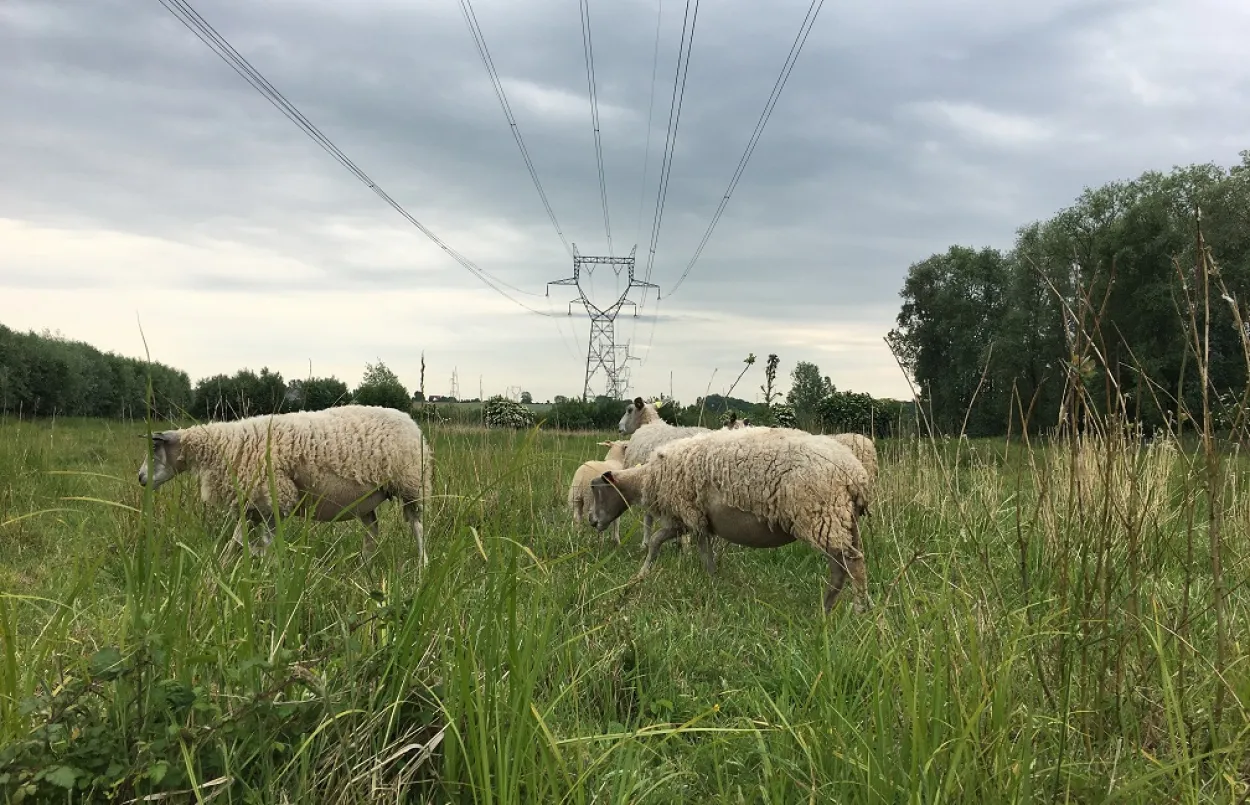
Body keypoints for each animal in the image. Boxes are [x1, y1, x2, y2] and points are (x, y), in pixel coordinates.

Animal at [136, 404, 433, 564]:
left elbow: (266, 543)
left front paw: (270, 572)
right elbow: (236, 540)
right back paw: (365, 565)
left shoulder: (273, 499)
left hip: (411, 485)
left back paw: (422, 565)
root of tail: (411, 420)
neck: (227, 446)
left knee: (417, 527)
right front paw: (222, 567)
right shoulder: (253, 505)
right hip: (366, 500)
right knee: (372, 533)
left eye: (155, 449)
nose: (140, 479)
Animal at [587, 426, 872, 613]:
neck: (648, 478)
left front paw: (645, 573)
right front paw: (709, 578)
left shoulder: (688, 514)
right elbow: (681, 544)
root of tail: (855, 474)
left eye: (598, 490)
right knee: (843, 567)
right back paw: (827, 610)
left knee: (851, 565)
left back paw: (857, 609)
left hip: (822, 516)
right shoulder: (692, 520)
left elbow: (680, 545)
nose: (592, 521)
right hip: (843, 519)